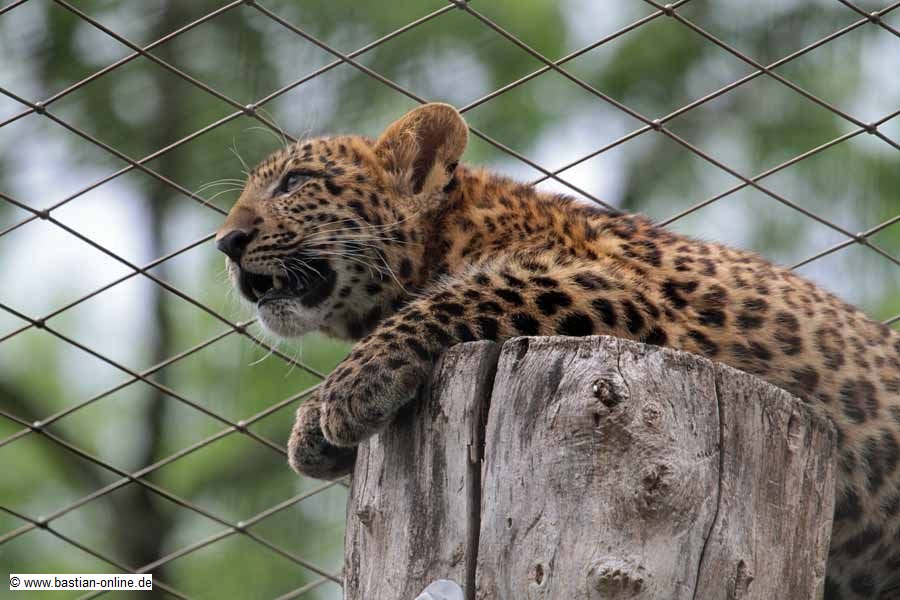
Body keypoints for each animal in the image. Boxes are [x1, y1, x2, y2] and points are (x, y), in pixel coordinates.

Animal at [216, 103, 900, 599]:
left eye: (295, 183)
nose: (227, 240)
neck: (448, 235)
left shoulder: (624, 294)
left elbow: (474, 290)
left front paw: (350, 390)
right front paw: (313, 431)